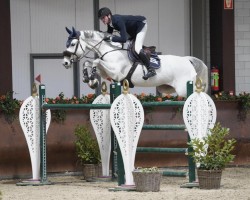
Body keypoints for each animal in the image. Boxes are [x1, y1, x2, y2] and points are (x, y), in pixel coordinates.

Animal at [62, 27, 207, 97]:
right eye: (66, 43)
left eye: (73, 44)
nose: (65, 63)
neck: (110, 50)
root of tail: (187, 60)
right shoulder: (107, 73)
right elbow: (88, 63)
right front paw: (90, 80)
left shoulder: (116, 73)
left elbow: (96, 61)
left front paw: (92, 78)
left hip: (184, 89)